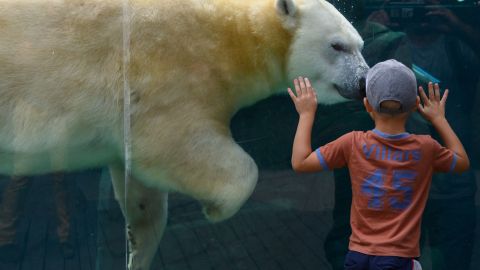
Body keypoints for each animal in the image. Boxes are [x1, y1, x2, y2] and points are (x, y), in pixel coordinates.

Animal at [0, 0, 368, 268]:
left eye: (360, 44)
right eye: (337, 45)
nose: (365, 80)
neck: (232, 34)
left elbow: (141, 191)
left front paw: (137, 248)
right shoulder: (169, 74)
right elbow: (175, 144)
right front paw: (214, 209)